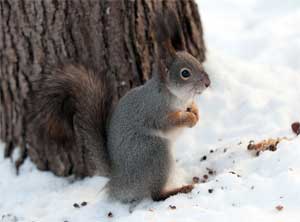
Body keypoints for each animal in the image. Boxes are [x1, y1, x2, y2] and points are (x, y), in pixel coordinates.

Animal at [28, 10, 211, 203]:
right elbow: (168, 122)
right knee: (155, 195)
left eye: (195, 60)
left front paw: (196, 112)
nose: (208, 82)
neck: (177, 97)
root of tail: (117, 180)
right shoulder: (154, 111)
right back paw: (178, 190)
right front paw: (189, 119)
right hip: (153, 152)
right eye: (185, 73)